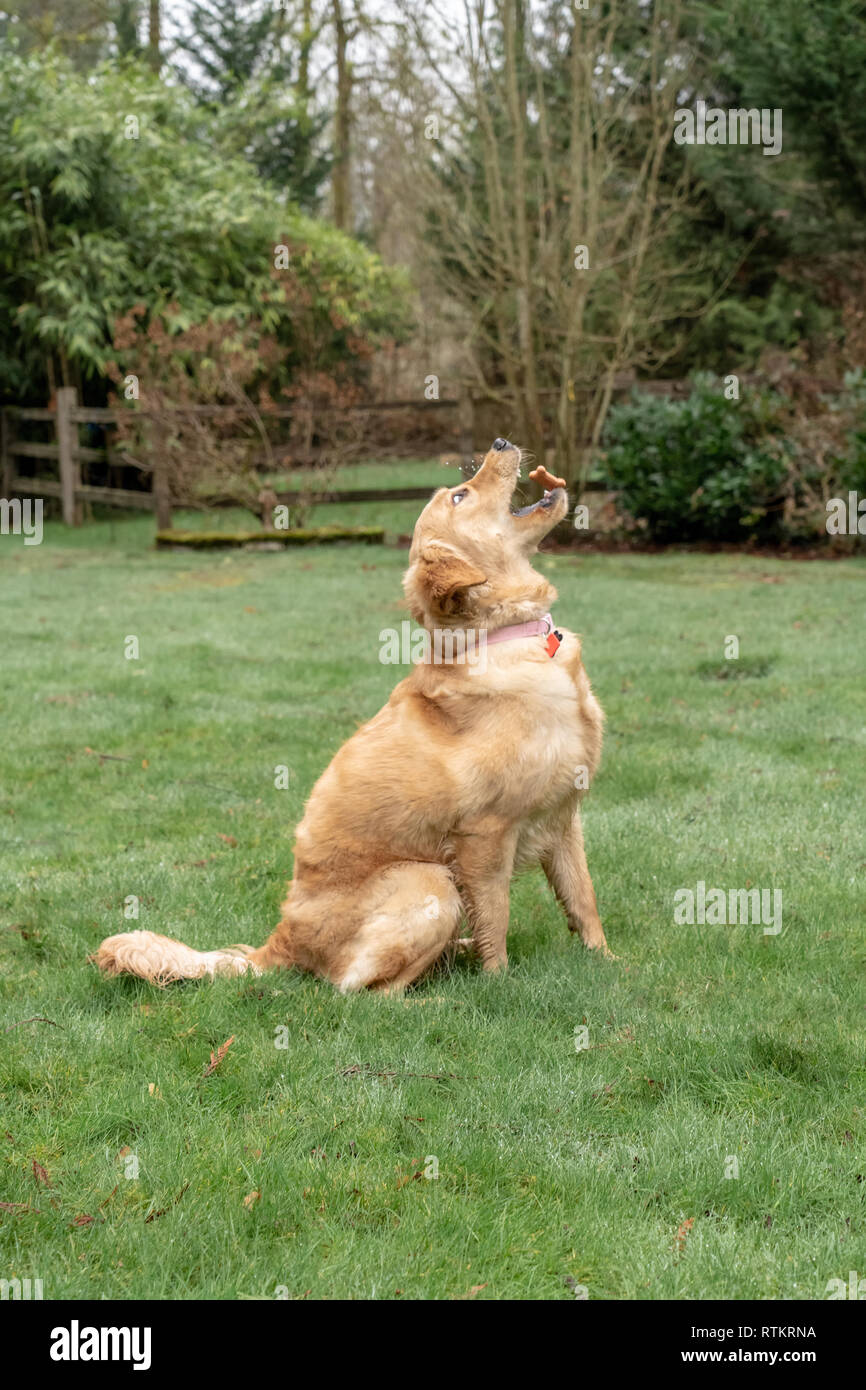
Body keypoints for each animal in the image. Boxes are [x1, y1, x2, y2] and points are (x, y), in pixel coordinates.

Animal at [93, 433, 608, 989]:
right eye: (460, 496)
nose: (500, 440)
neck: (501, 636)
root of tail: (280, 943)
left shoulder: (564, 819)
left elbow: (583, 901)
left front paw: (608, 964)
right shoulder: (485, 836)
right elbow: (496, 919)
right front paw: (499, 984)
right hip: (431, 878)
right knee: (360, 990)